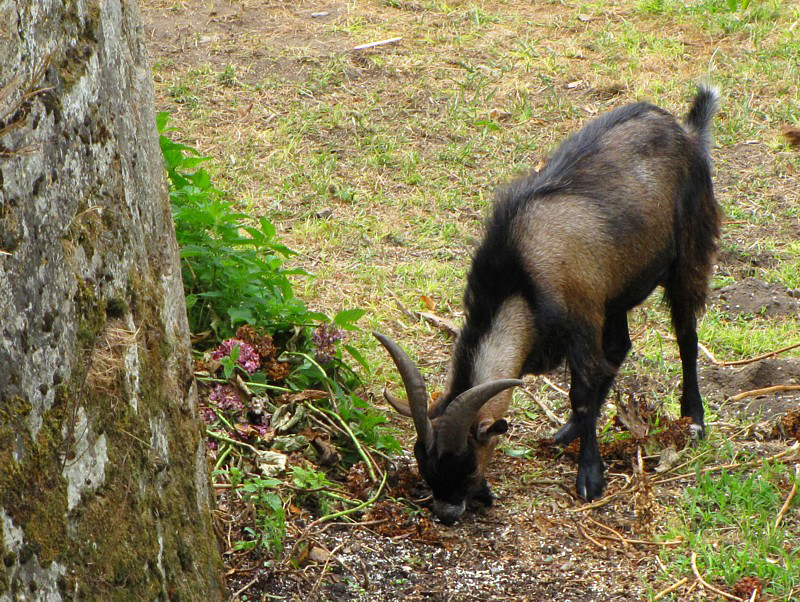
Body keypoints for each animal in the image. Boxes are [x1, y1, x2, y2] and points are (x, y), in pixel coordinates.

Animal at [376, 85, 720, 524]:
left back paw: (694, 419)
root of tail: (688, 133)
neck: (519, 279)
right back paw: (568, 430)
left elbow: (583, 392)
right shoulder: (592, 306)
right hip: (616, 292)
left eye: (467, 464)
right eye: (424, 463)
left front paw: (590, 477)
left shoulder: (582, 317)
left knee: (686, 336)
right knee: (621, 346)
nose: (448, 513)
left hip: (690, 250)